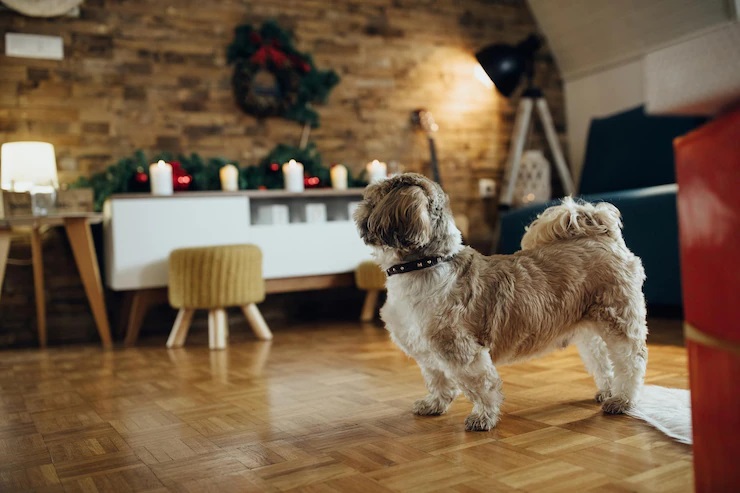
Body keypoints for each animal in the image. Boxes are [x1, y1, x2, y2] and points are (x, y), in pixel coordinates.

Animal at [354, 173, 648, 430]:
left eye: (370, 200)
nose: (357, 208)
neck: (426, 264)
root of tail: (602, 235)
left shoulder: (462, 351)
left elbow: (481, 385)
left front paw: (483, 417)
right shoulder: (428, 353)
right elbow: (438, 380)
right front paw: (434, 404)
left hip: (618, 320)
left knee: (630, 361)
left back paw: (622, 400)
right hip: (588, 330)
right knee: (602, 360)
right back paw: (608, 391)